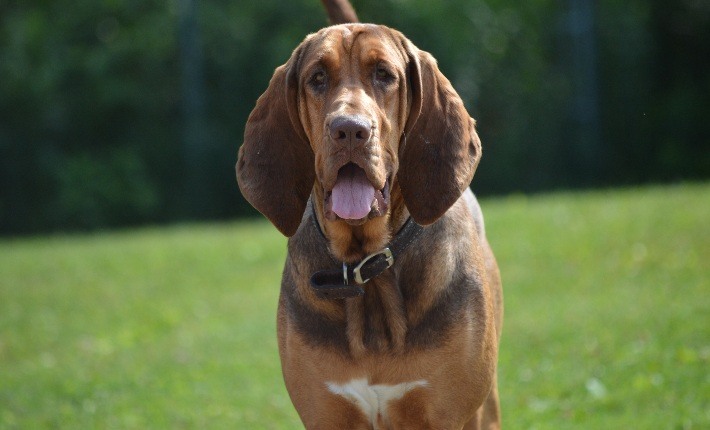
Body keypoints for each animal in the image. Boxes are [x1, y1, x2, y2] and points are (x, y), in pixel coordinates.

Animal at [236, 1, 504, 428]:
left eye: (384, 74)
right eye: (317, 78)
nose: (349, 130)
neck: (366, 264)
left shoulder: (446, 413)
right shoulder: (327, 415)